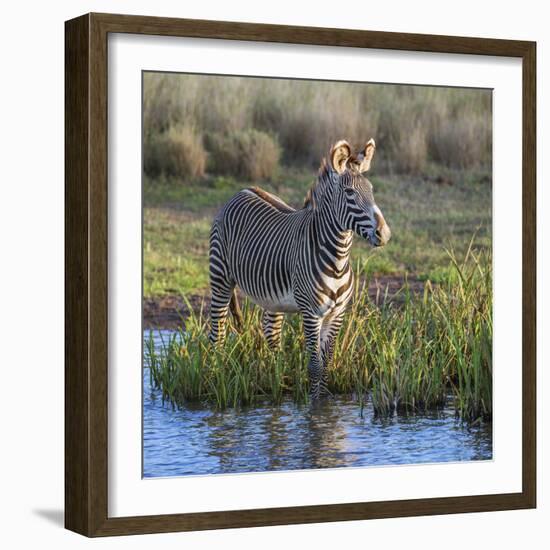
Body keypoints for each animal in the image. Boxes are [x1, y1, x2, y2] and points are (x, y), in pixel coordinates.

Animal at [208, 140, 392, 398]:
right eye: (350, 193)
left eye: (372, 191)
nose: (384, 234)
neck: (337, 260)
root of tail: (243, 190)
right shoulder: (311, 313)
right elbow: (315, 366)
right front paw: (314, 405)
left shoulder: (337, 314)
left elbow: (327, 364)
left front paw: (323, 402)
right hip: (220, 277)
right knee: (218, 333)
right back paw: (217, 377)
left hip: (272, 296)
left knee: (272, 334)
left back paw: (275, 379)